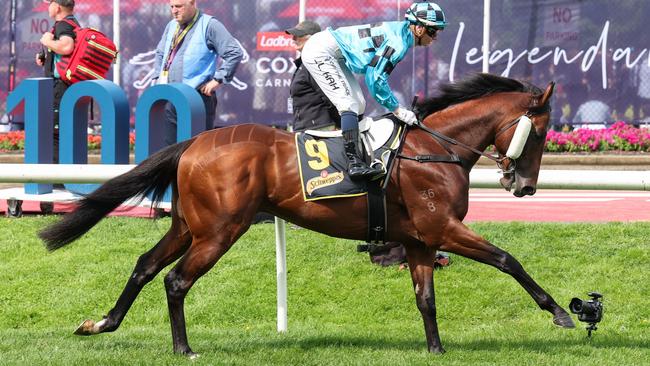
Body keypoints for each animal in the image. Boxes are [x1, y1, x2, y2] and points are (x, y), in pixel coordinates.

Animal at [41, 73, 572, 356]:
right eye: (541, 133)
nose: (524, 186)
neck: (433, 149)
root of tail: (194, 142)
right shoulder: (443, 227)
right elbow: (507, 259)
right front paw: (561, 312)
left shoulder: (420, 239)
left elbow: (426, 299)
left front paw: (436, 349)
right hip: (219, 231)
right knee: (175, 280)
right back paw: (183, 348)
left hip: (189, 225)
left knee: (145, 265)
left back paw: (102, 323)